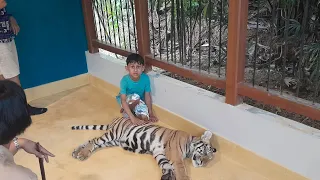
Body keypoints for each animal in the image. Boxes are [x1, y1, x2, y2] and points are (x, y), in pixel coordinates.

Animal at [71, 116, 216, 180]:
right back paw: (82, 154)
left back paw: (76, 152)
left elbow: (166, 166)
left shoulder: (159, 153)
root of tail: (116, 119)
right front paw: (180, 177)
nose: (203, 163)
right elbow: (181, 170)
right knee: (95, 141)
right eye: (205, 152)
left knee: (92, 141)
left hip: (112, 141)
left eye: (209, 159)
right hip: (113, 135)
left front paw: (167, 176)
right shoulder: (175, 155)